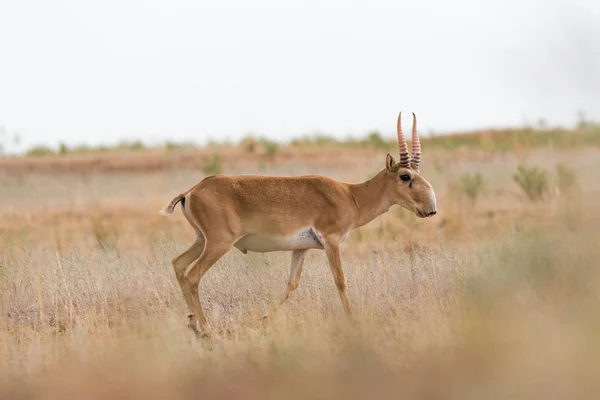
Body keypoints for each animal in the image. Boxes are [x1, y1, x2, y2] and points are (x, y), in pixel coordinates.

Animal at [159, 112, 438, 338]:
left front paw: (262, 322)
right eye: (405, 175)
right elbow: (340, 280)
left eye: (419, 174)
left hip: (201, 240)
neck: (351, 195)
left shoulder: (300, 249)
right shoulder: (331, 241)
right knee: (193, 275)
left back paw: (194, 325)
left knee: (179, 265)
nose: (430, 209)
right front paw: (353, 322)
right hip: (218, 244)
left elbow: (291, 284)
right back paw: (206, 330)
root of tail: (192, 191)